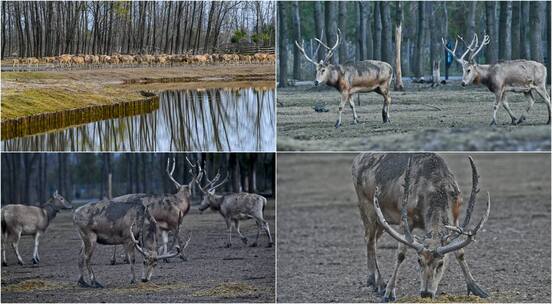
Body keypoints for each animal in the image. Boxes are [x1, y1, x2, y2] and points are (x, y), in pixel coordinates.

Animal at [352, 154, 490, 302]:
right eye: (419, 261)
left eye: (441, 263)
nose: (426, 293)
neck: (435, 188)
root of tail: (356, 159)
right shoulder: (406, 218)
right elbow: (401, 254)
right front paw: (389, 292)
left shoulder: (455, 218)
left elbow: (460, 252)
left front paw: (477, 289)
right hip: (366, 205)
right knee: (371, 240)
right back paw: (379, 283)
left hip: (380, 220)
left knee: (371, 239)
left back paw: (372, 280)